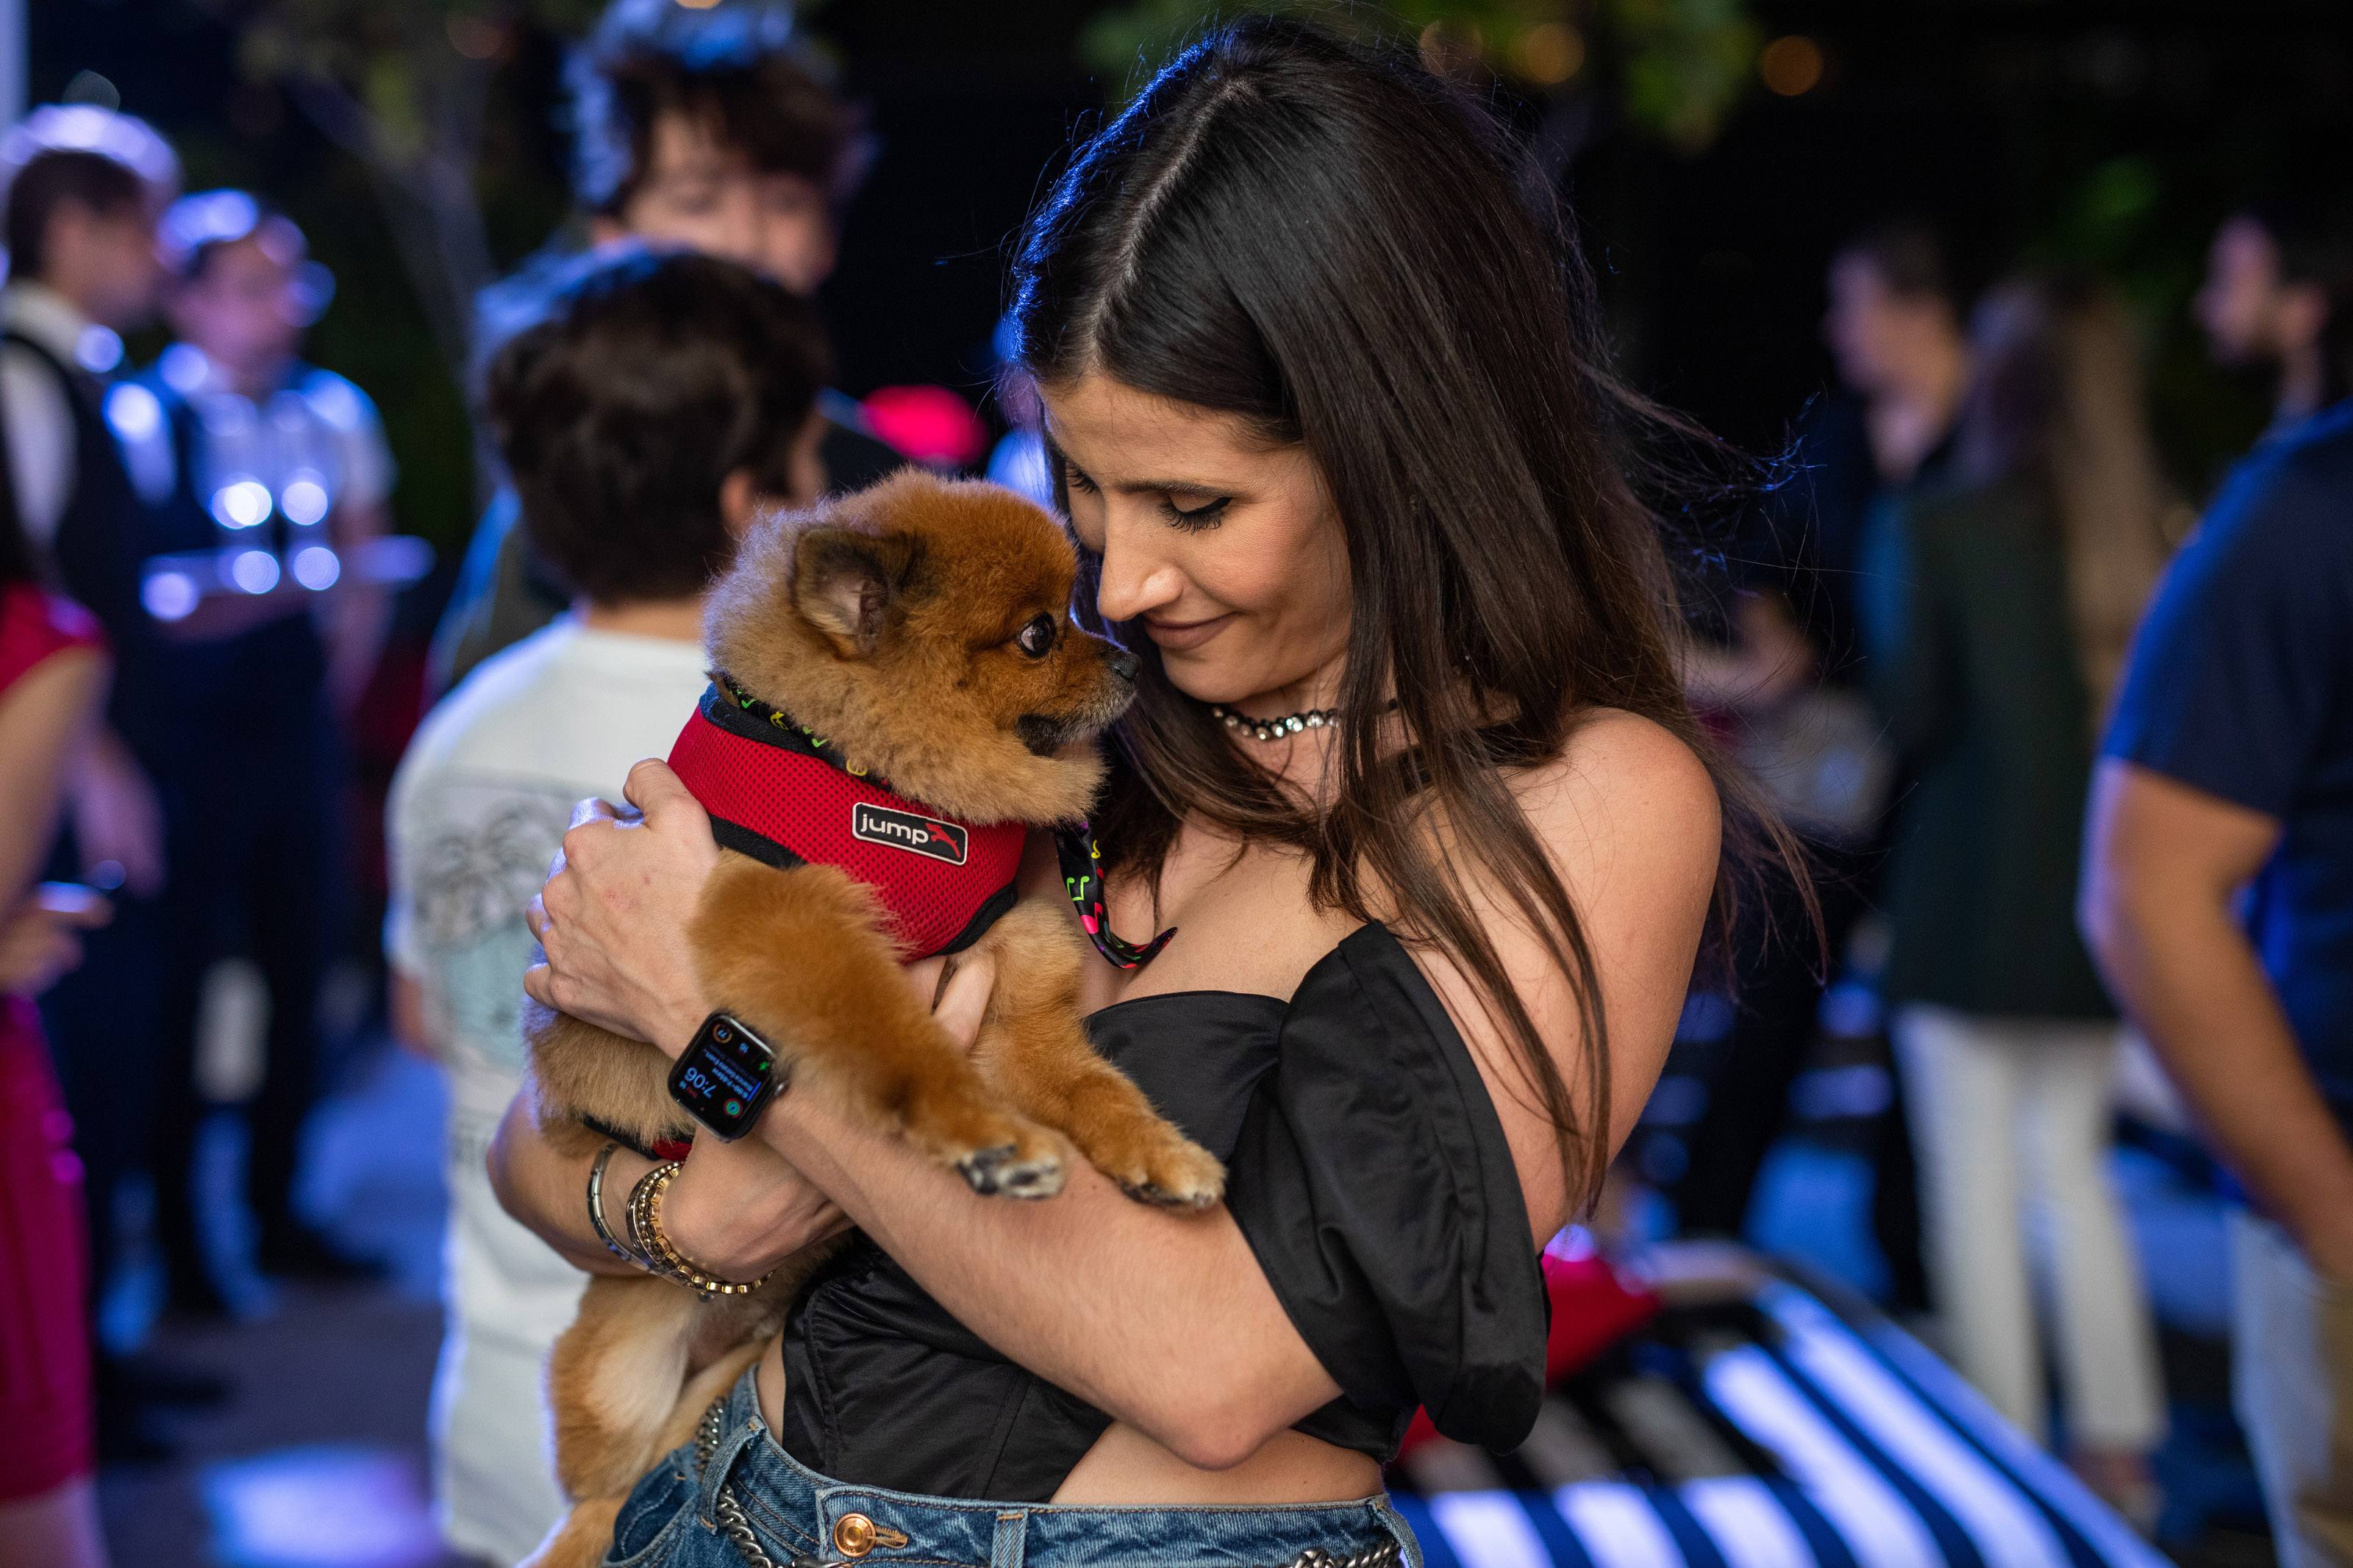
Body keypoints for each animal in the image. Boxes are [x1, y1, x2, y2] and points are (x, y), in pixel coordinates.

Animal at [510, 470, 1214, 1568]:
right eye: (1039, 634)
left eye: (1077, 608)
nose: (1131, 659)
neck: (880, 785)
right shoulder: (801, 931)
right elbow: (900, 1042)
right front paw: (987, 1136)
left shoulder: (1011, 976)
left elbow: (1090, 1085)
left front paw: (1155, 1154)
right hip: (619, 1378)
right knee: (596, 1503)